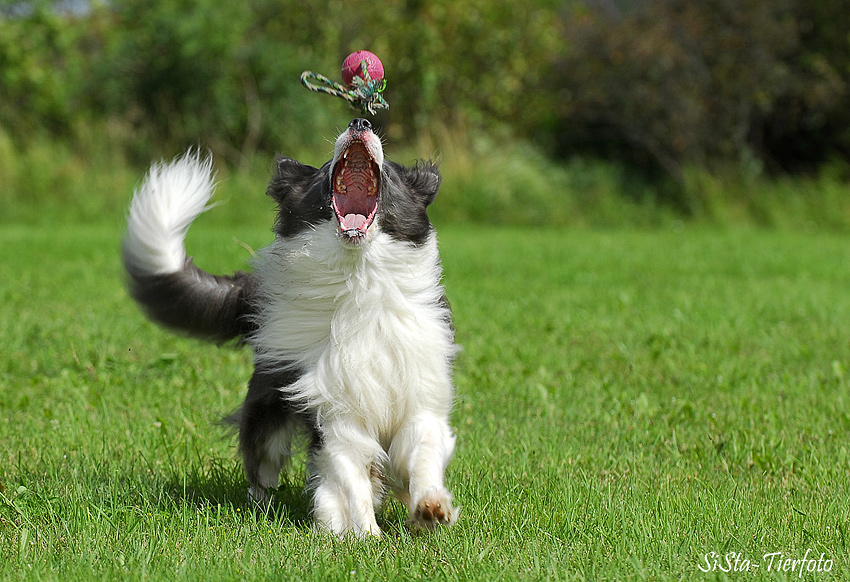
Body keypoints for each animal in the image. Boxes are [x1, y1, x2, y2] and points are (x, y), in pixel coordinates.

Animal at [121, 117, 458, 540]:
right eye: (324, 169)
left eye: (393, 174)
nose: (359, 121)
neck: (360, 279)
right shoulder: (335, 415)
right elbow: (353, 480)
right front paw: (367, 536)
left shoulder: (419, 398)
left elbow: (423, 454)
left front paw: (431, 508)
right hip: (267, 414)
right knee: (262, 467)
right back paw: (272, 510)